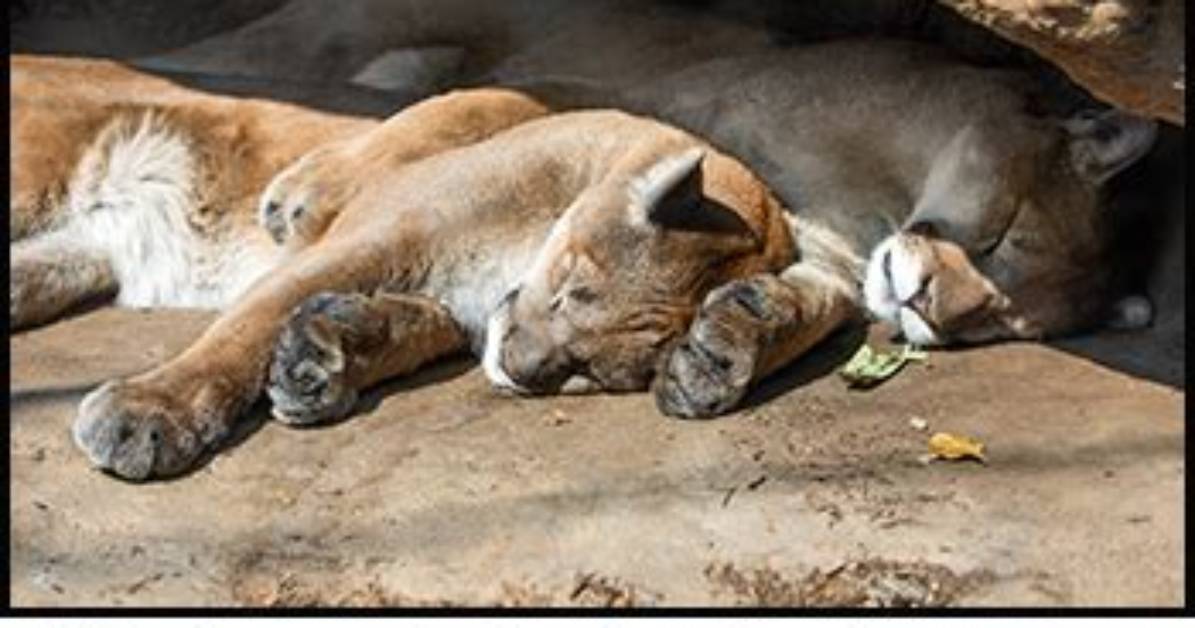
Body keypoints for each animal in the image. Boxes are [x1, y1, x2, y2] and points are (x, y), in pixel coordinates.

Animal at [10, 38, 1156, 481]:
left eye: (989, 324)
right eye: (1002, 237)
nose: (925, 305)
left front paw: (325, 356)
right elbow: (245, 324)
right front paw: (155, 409)